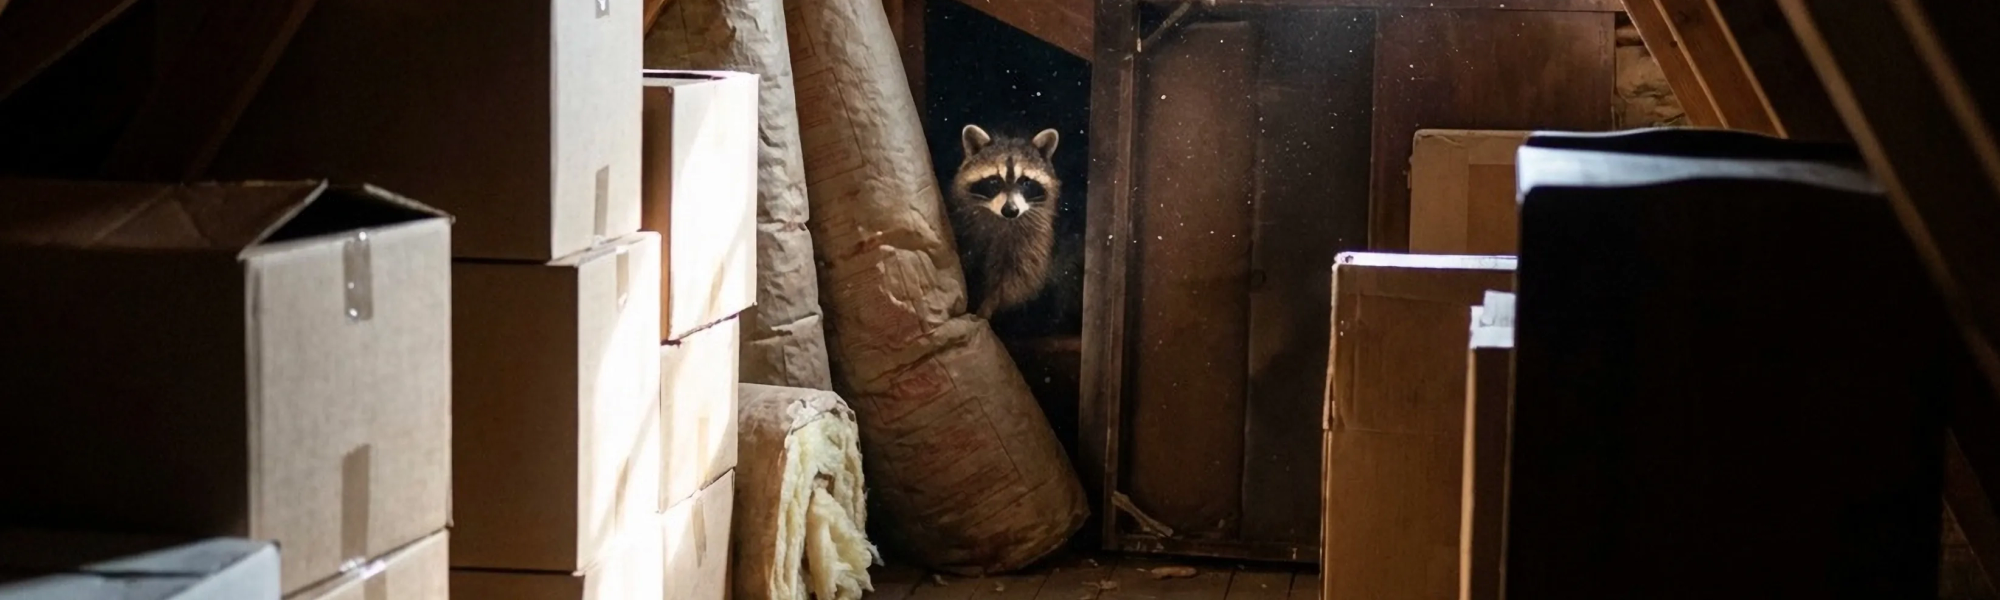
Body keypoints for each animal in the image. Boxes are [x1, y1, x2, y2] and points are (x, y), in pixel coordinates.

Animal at [949, 124, 1063, 320]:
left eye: (1026, 182)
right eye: (994, 181)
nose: (1010, 210)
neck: (1002, 220)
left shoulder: (1031, 240)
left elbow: (1015, 279)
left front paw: (987, 309)